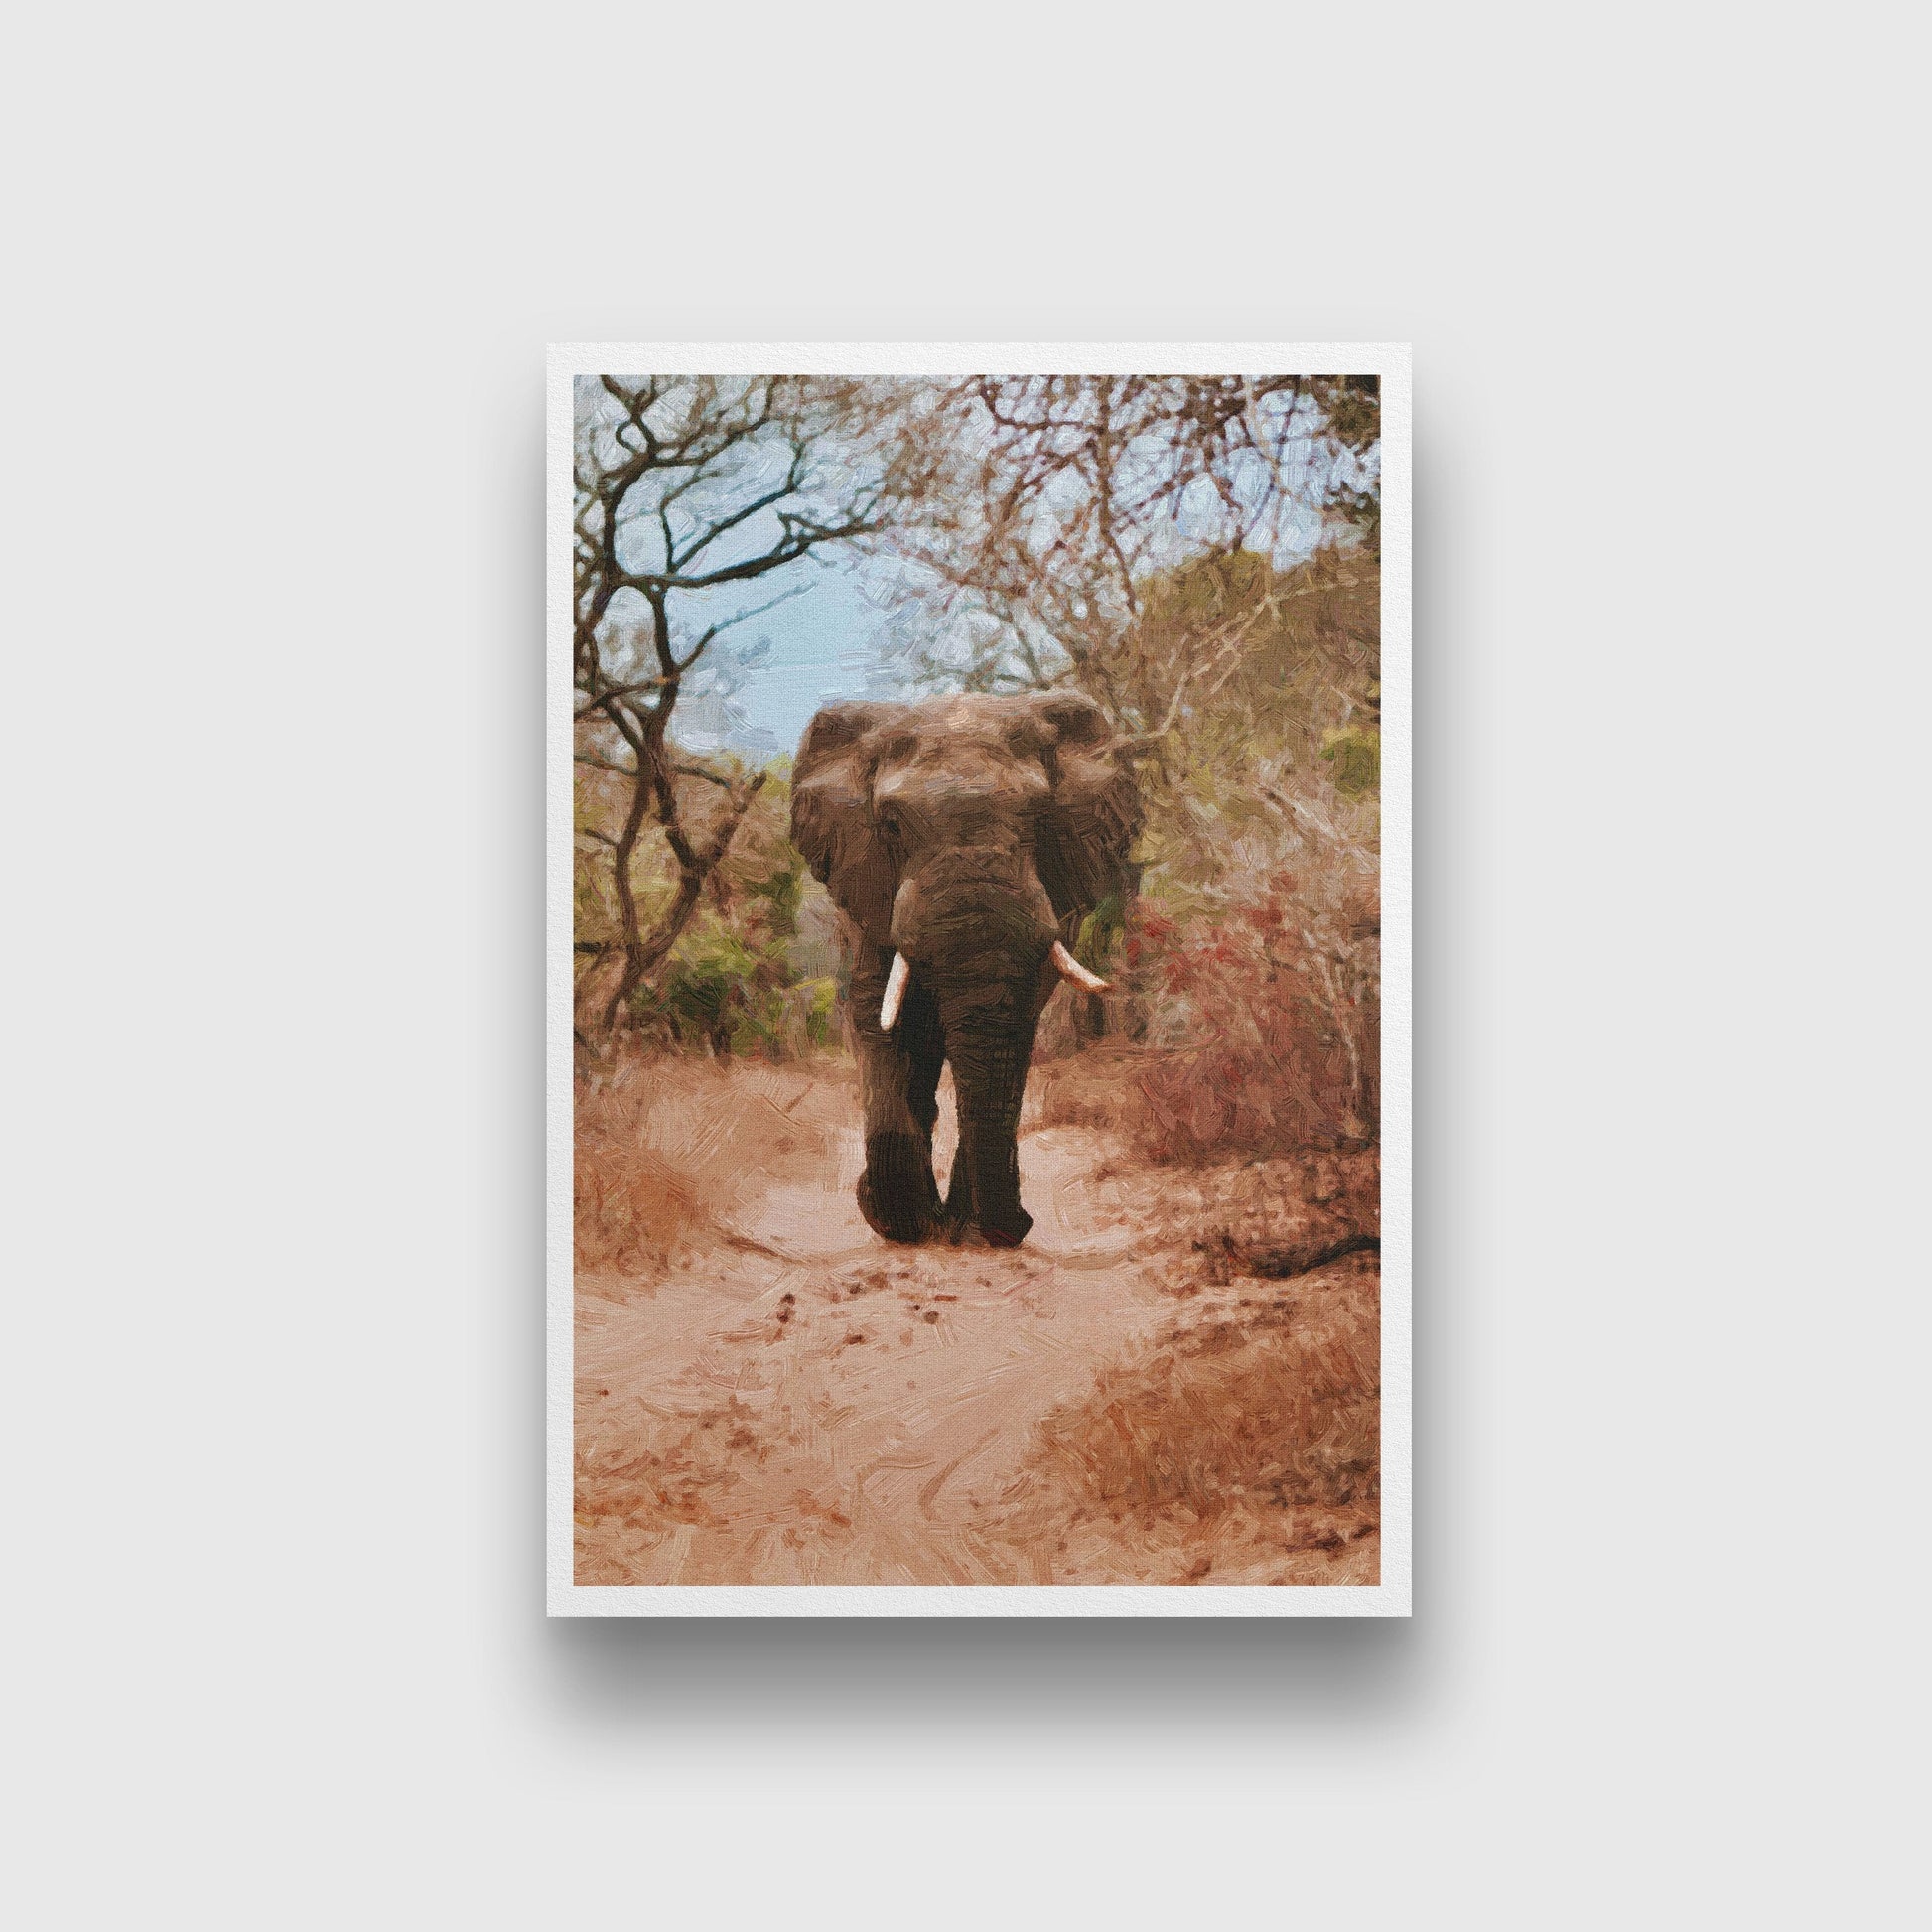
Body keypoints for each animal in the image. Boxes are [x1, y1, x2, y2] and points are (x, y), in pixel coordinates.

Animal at [790, 690, 1141, 1248]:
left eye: (1040, 816)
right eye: (891, 824)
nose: (1020, 1225)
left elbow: (1015, 1023)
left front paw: (965, 1229)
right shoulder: (867, 886)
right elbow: (882, 1014)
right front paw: (900, 1225)